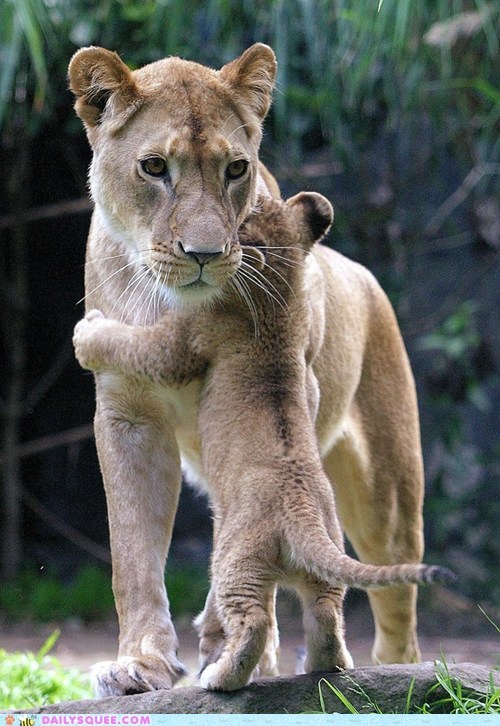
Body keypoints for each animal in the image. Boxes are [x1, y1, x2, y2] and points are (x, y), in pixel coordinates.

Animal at [69, 43, 435, 696]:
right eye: (154, 167)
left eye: (235, 169)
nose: (206, 254)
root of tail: (365, 276)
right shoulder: (127, 416)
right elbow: (132, 553)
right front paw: (140, 664)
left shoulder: (229, 359)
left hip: (387, 499)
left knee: (395, 605)